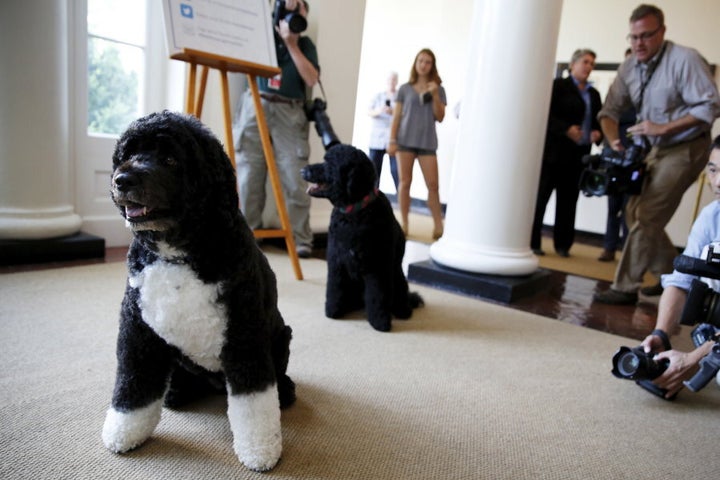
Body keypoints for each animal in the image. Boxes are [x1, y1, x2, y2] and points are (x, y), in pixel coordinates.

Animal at [101, 110, 292, 470]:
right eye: (128, 154)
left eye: (170, 159)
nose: (123, 179)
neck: (178, 252)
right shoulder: (139, 333)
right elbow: (133, 386)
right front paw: (124, 433)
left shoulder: (244, 336)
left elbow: (254, 404)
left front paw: (260, 450)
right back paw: (176, 391)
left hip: (281, 335)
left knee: (278, 373)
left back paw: (285, 391)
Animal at [302, 144, 424, 332]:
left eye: (329, 163)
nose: (303, 170)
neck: (354, 213)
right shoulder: (336, 261)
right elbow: (334, 288)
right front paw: (333, 311)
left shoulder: (377, 267)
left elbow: (378, 296)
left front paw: (380, 322)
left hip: (397, 277)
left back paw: (403, 310)